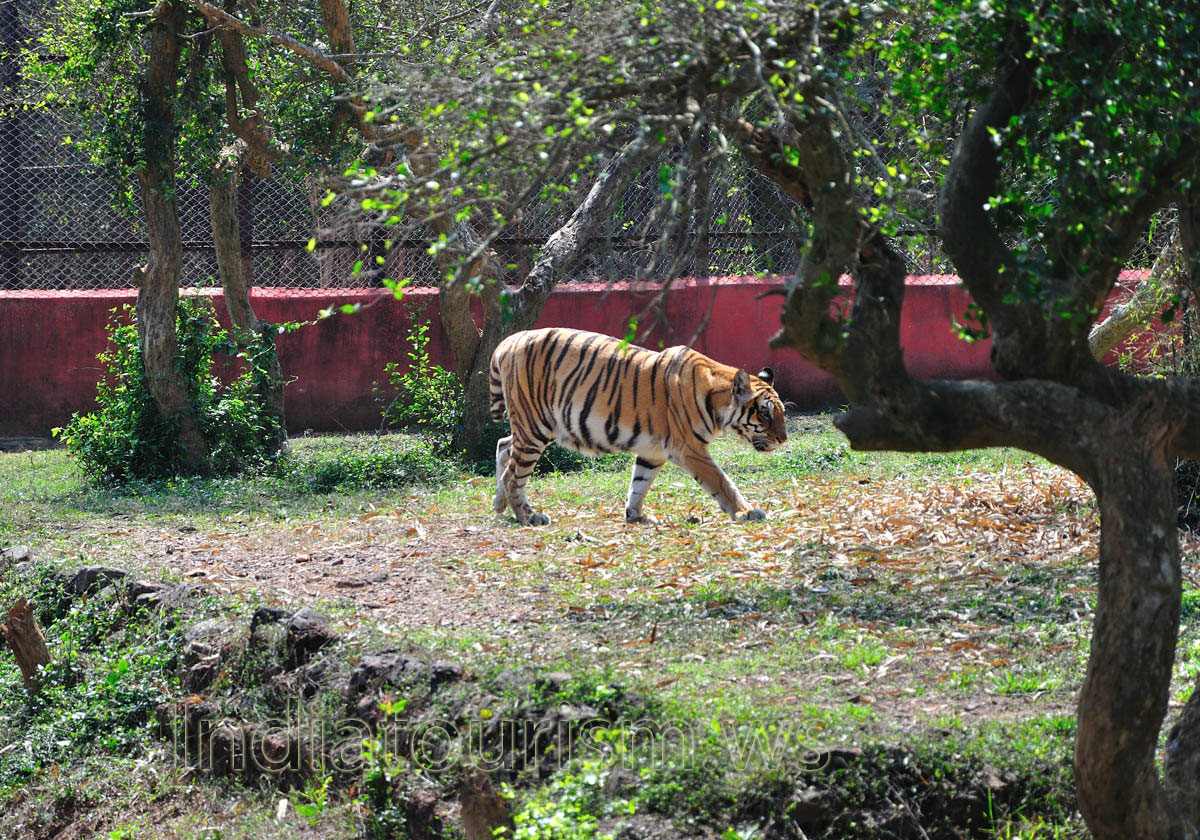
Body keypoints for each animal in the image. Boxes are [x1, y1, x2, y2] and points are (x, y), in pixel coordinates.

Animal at [488, 327, 787, 526]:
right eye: (765, 413)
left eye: (781, 413)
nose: (783, 440)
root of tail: (509, 340)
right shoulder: (689, 448)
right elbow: (723, 482)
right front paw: (747, 512)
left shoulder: (653, 452)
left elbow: (639, 484)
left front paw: (636, 515)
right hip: (535, 426)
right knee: (514, 476)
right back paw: (529, 516)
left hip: (534, 427)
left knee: (503, 446)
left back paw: (499, 503)